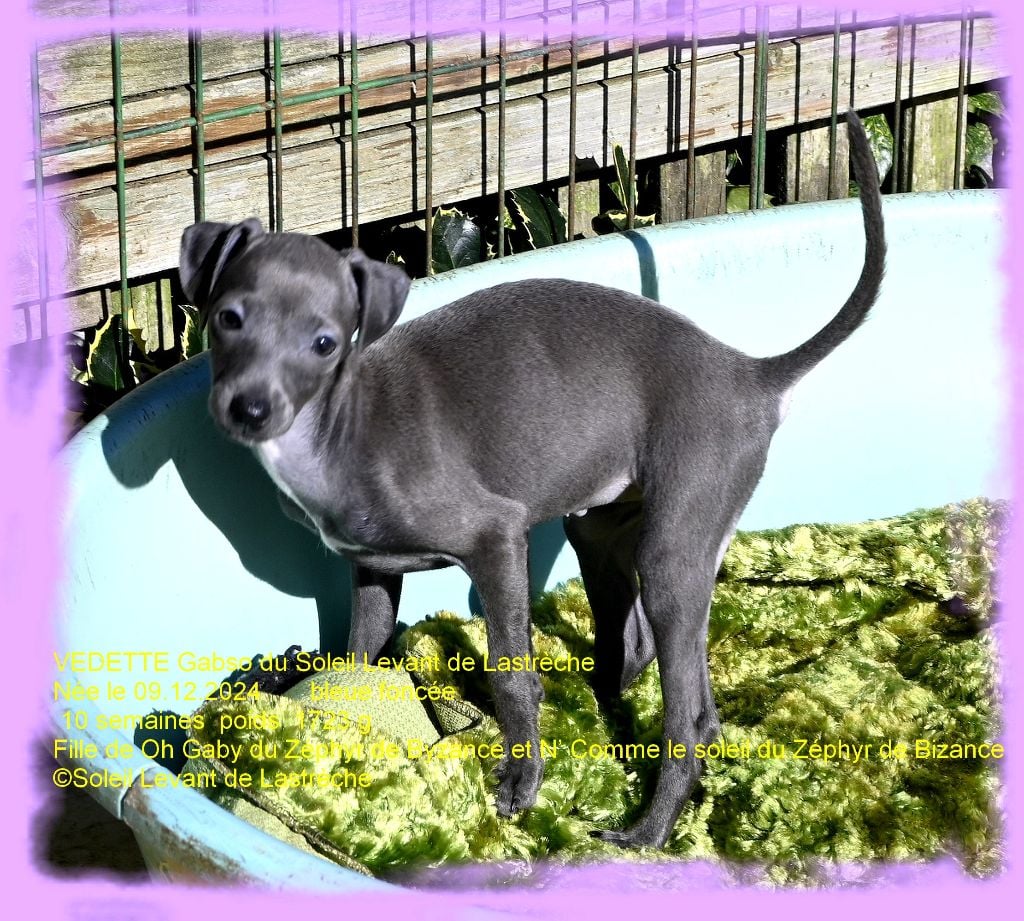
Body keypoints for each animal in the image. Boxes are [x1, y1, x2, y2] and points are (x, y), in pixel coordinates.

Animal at [179, 110, 884, 848]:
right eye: (228, 318)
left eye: (324, 343)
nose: (250, 410)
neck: (334, 429)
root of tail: (750, 373)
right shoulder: (372, 568)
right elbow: (360, 652)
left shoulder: (496, 538)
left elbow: (508, 671)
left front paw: (521, 779)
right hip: (604, 528)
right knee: (659, 658)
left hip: (671, 546)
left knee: (681, 715)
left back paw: (647, 828)